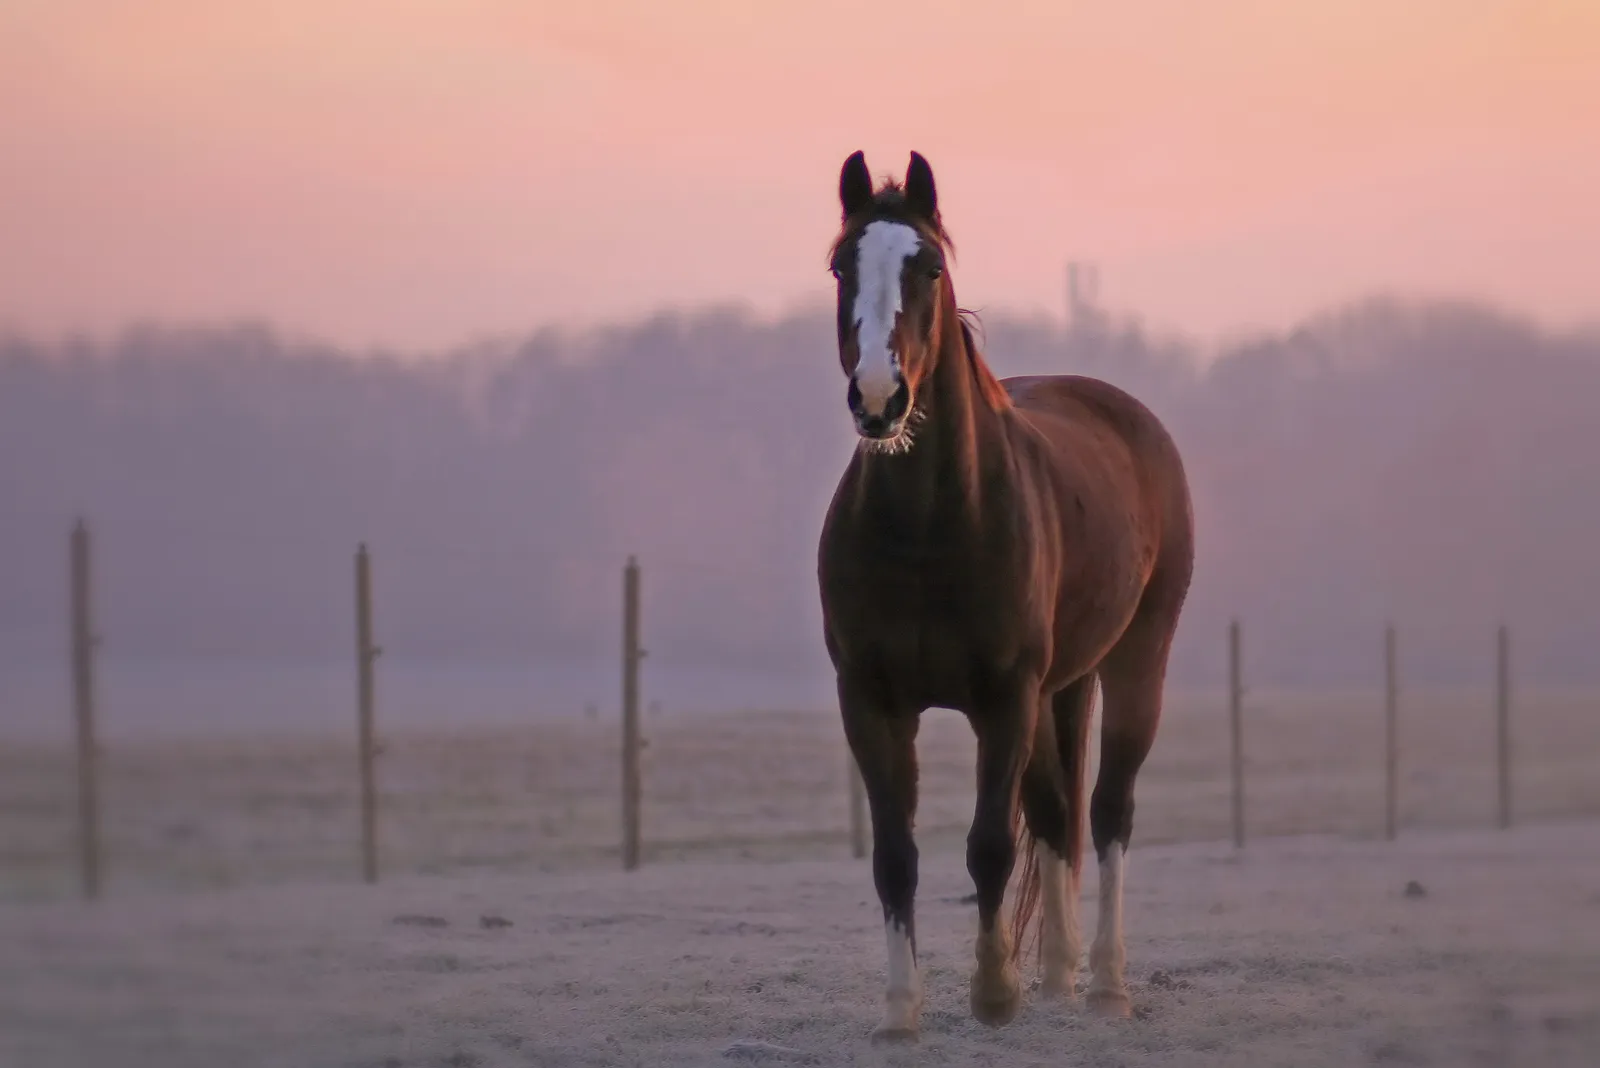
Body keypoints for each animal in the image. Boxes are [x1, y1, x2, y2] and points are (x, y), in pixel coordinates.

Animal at [816, 150, 1195, 1042]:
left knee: (1108, 811)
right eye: (842, 266)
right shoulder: (871, 700)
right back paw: (1056, 979)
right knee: (1056, 813)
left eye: (928, 266)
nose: (879, 399)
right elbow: (896, 857)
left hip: (1136, 662)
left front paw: (993, 993)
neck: (928, 528)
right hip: (1060, 688)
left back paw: (1105, 987)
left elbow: (988, 844)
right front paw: (901, 1011)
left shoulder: (1004, 699)